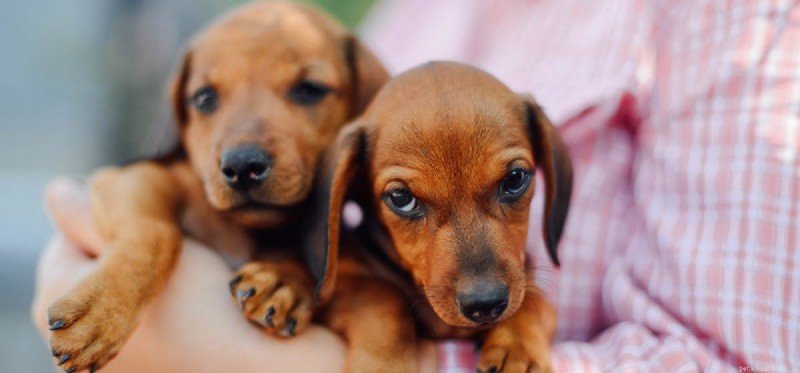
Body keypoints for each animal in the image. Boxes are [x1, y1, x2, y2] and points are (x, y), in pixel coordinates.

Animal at [45, 1, 390, 370]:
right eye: (203, 98)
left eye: (310, 89)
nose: (242, 167)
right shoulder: (130, 177)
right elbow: (155, 234)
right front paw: (100, 312)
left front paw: (282, 280)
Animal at [310, 61, 572, 372]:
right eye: (401, 198)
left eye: (515, 178)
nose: (485, 305)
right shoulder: (341, 290)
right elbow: (382, 297)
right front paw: (383, 363)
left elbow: (533, 301)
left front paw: (518, 348)